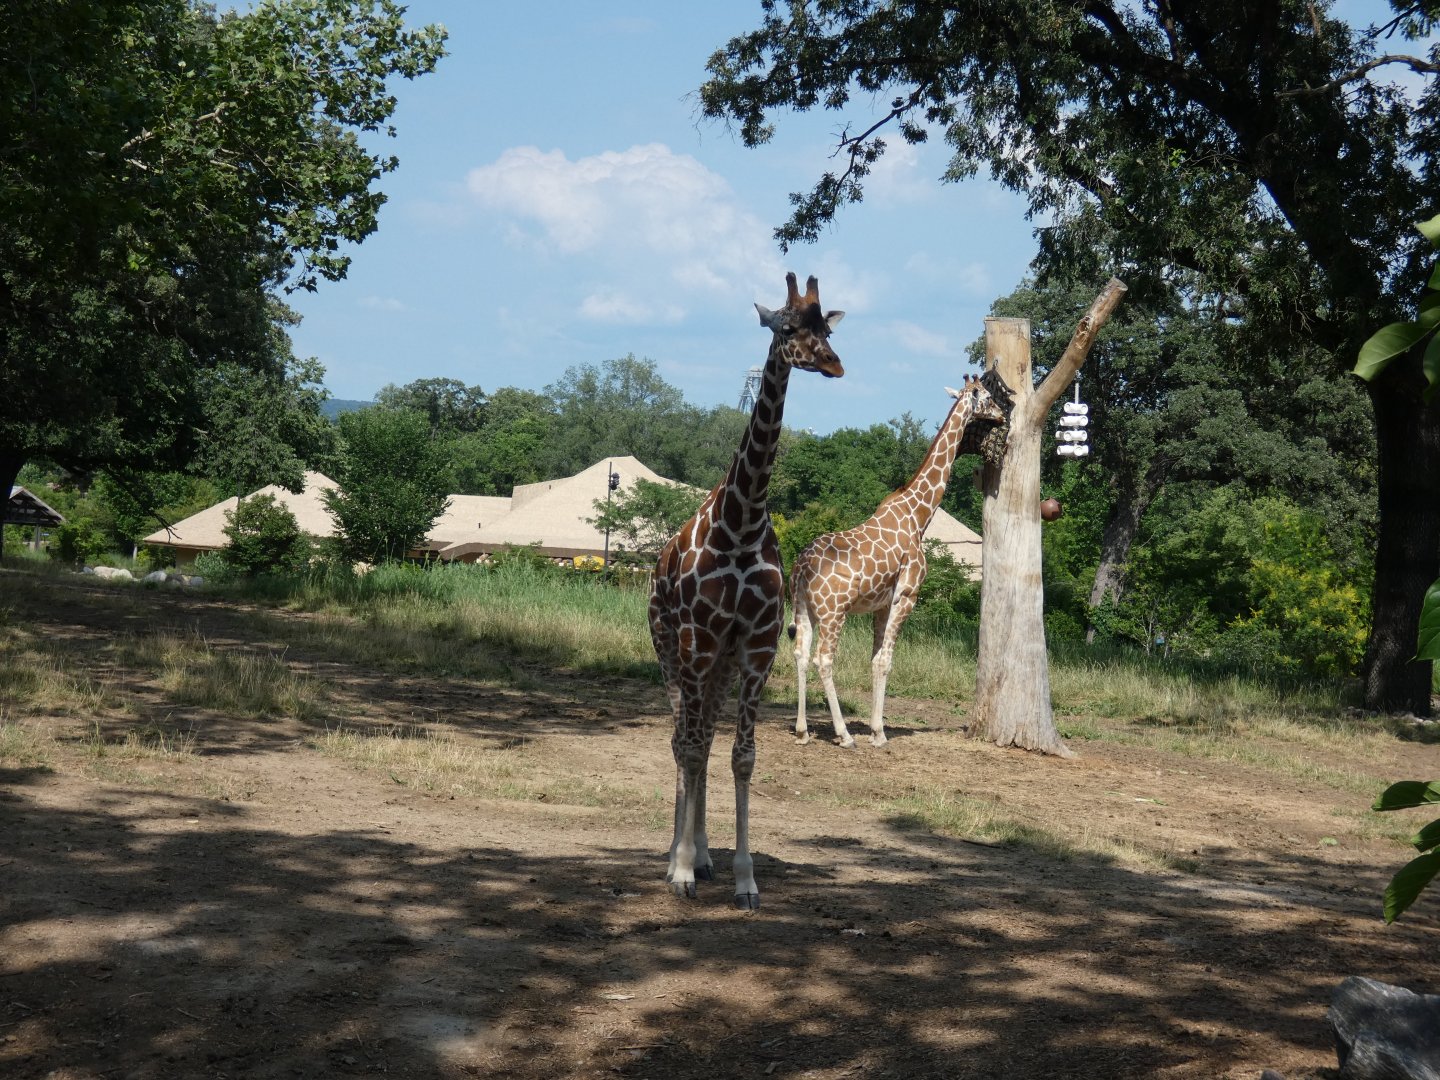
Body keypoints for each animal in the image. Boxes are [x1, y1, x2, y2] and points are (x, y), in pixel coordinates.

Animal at [648, 272, 845, 910]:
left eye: (828, 329)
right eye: (786, 326)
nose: (832, 364)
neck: (741, 521)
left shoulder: (755, 648)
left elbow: (741, 756)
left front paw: (743, 878)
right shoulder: (697, 642)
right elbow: (690, 747)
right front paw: (682, 871)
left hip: (719, 666)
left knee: (705, 738)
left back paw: (705, 854)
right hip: (672, 653)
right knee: (681, 739)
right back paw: (677, 858)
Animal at [788, 376, 1006, 749]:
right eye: (989, 397)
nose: (1004, 414)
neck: (919, 515)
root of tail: (800, 569)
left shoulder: (880, 604)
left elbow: (875, 660)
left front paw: (877, 728)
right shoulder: (907, 596)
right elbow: (887, 661)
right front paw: (878, 733)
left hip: (803, 608)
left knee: (801, 654)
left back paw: (803, 731)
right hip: (834, 612)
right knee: (823, 659)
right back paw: (844, 734)